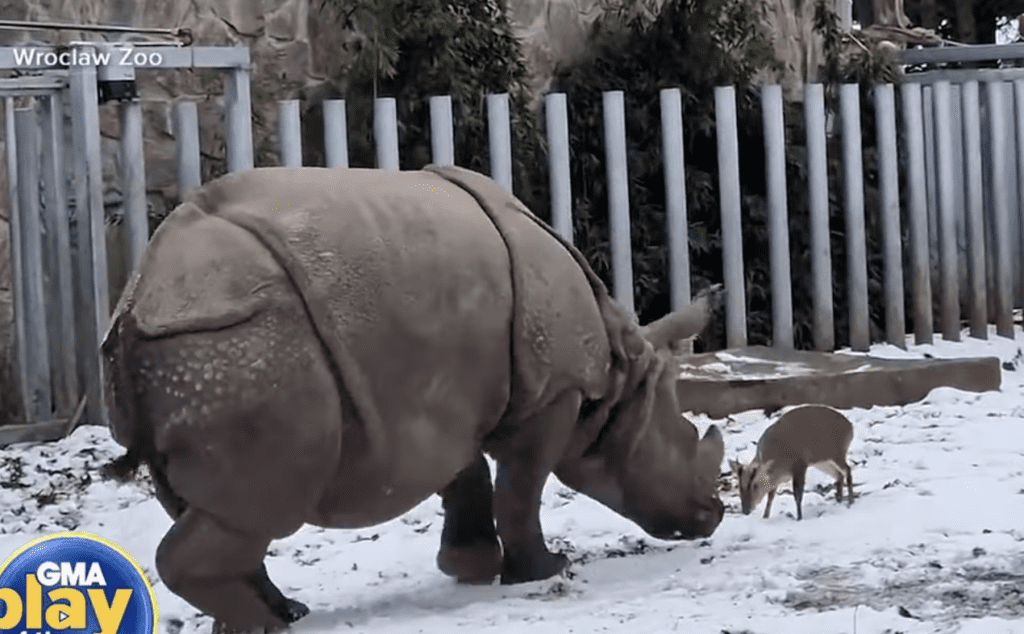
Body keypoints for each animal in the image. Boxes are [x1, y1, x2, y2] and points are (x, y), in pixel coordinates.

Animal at [101, 165, 726, 632]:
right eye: (684, 437)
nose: (714, 515)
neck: (621, 376)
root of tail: (139, 302)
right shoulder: (553, 395)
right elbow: (521, 488)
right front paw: (545, 570)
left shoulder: (439, 404)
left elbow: (466, 475)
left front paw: (469, 566)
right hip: (241, 347)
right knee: (261, 505)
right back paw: (268, 625)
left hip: (199, 351)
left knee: (220, 508)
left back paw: (283, 613)